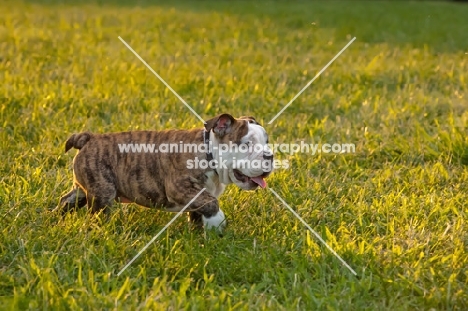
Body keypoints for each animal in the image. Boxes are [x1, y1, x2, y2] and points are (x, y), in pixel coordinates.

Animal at [56, 114, 272, 232]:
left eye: (267, 142)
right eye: (246, 145)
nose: (269, 156)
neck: (208, 150)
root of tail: (89, 138)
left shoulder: (196, 195)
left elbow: (199, 210)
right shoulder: (178, 187)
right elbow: (211, 202)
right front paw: (217, 221)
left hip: (84, 188)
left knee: (67, 199)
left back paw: (56, 217)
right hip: (102, 190)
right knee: (98, 213)